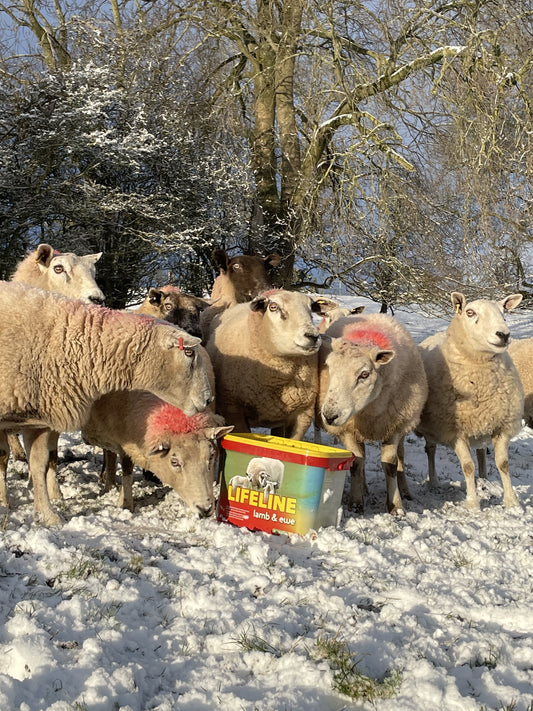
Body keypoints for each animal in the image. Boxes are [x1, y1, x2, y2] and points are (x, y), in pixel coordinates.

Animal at [0, 281, 213, 525]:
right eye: (188, 353)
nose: (208, 398)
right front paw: (6, 504)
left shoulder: (39, 419)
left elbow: (39, 464)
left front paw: (47, 514)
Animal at [82, 391, 233, 516]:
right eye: (174, 462)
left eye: (211, 455)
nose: (206, 509)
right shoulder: (125, 438)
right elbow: (127, 468)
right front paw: (126, 504)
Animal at [317, 312, 428, 515]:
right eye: (328, 367)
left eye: (364, 374)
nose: (329, 416)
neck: (368, 409)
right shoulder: (348, 429)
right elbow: (356, 463)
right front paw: (355, 503)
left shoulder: (394, 426)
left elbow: (391, 465)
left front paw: (396, 506)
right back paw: (364, 488)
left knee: (401, 457)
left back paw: (405, 491)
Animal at [416, 291, 524, 510]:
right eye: (470, 312)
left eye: (504, 311)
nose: (504, 335)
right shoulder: (454, 431)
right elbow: (467, 466)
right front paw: (473, 503)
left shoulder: (501, 425)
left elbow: (503, 464)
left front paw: (511, 501)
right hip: (432, 425)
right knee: (430, 449)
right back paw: (433, 482)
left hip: (482, 422)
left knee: (481, 450)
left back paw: (483, 479)